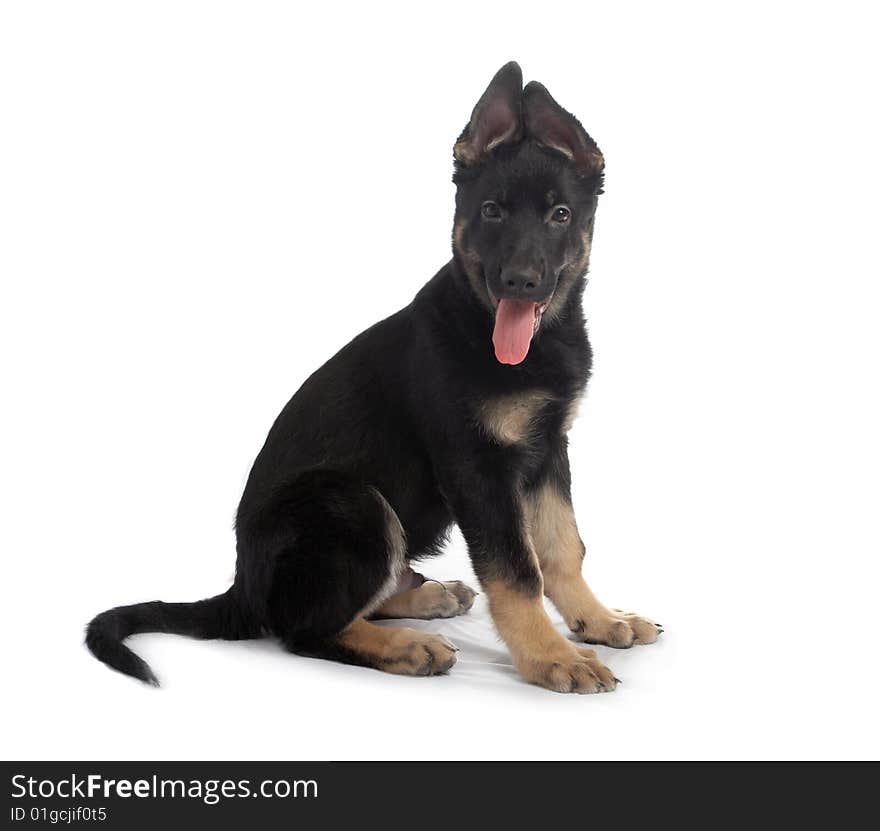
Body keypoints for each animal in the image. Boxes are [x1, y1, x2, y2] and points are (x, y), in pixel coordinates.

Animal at [87, 61, 660, 692]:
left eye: (561, 215)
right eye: (491, 211)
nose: (520, 281)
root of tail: (242, 591)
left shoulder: (547, 449)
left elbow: (562, 548)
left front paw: (598, 621)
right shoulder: (477, 466)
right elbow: (516, 569)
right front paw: (549, 656)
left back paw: (425, 598)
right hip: (351, 501)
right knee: (303, 627)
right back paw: (405, 646)